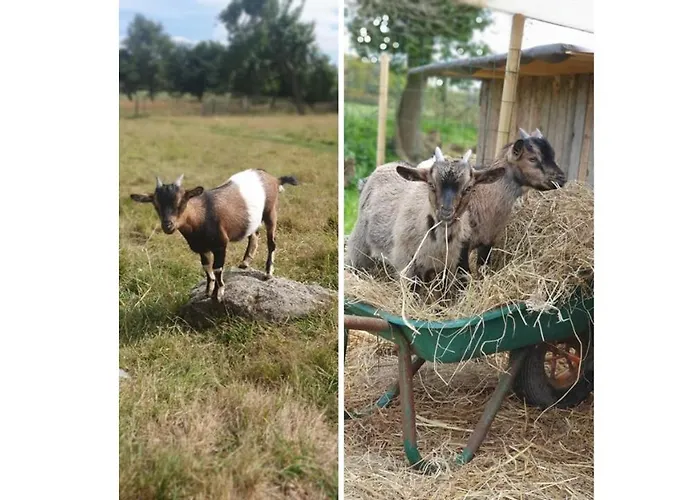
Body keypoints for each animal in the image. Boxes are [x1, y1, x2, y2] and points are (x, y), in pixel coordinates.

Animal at [130, 170, 298, 302]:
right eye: (156, 205)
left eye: (182, 202)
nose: (168, 225)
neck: (201, 216)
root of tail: (275, 179)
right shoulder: (201, 248)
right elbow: (206, 267)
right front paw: (207, 291)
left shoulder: (220, 245)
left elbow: (217, 269)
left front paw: (218, 294)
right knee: (254, 234)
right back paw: (245, 262)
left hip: (271, 212)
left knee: (271, 242)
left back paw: (268, 273)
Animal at [345, 147, 505, 288]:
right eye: (431, 184)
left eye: (468, 188)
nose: (446, 212)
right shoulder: (407, 264)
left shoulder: (448, 268)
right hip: (359, 243)